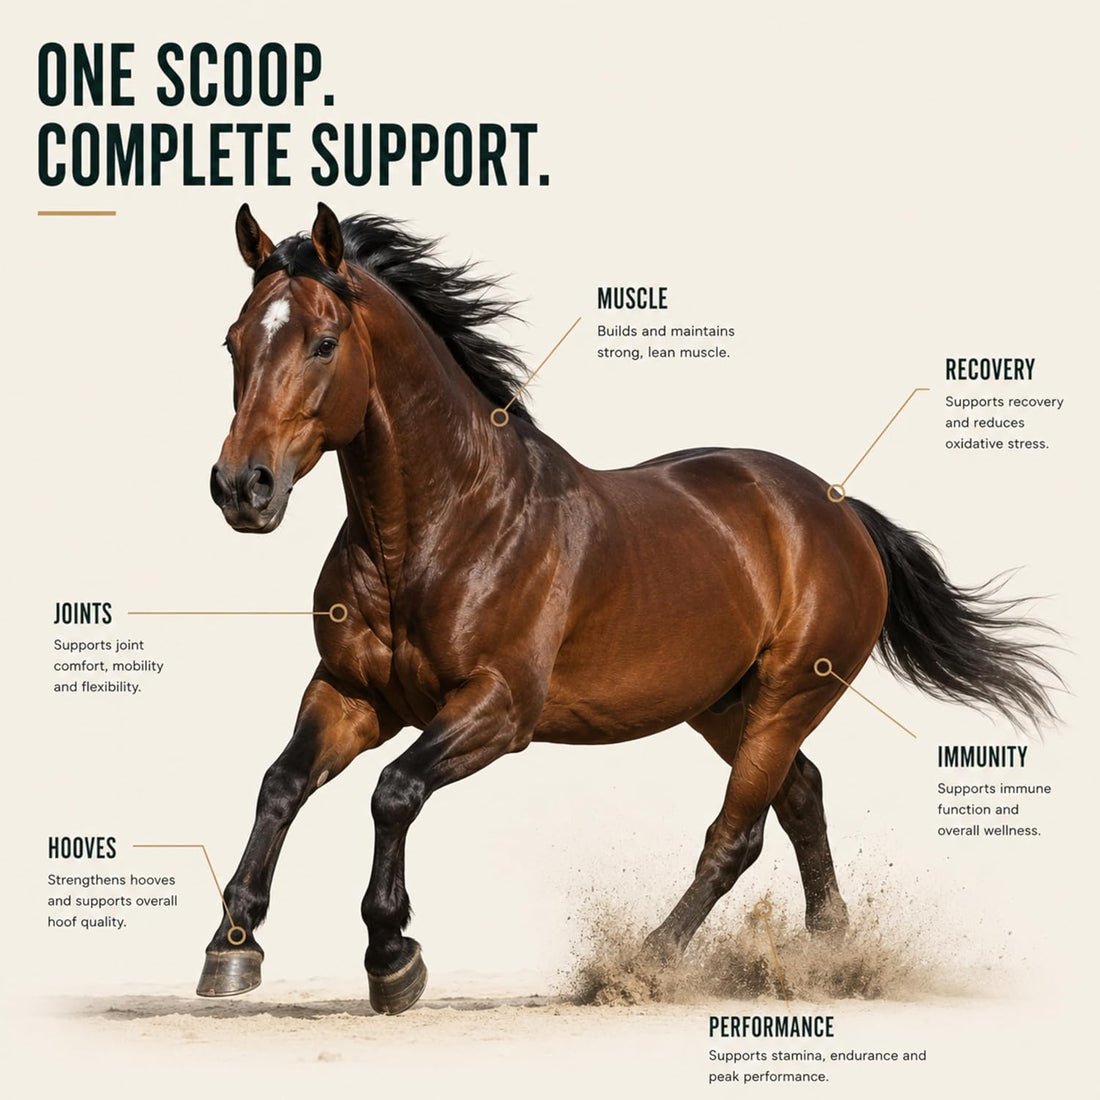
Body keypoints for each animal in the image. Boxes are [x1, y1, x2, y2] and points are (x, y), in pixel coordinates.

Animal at [200, 202, 1057, 1014]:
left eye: (323, 342)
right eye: (235, 343)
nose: (243, 487)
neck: (437, 529)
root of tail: (837, 508)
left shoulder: (498, 708)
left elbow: (393, 792)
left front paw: (392, 959)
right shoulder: (352, 693)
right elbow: (281, 782)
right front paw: (233, 946)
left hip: (787, 697)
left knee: (737, 834)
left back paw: (645, 965)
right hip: (721, 703)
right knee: (801, 796)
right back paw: (831, 953)